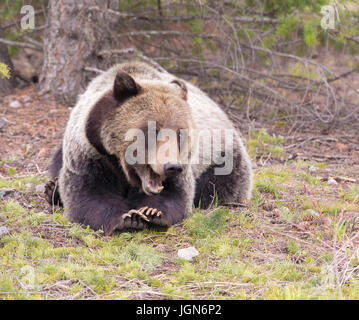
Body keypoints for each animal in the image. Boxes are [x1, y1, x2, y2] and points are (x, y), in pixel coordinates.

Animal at [45, 61, 253, 235]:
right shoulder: (90, 154)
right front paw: (127, 217)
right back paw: (52, 189)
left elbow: (175, 195)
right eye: (153, 130)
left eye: (180, 133)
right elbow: (88, 193)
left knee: (218, 185)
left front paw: (151, 212)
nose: (171, 166)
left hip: (222, 155)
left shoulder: (184, 166)